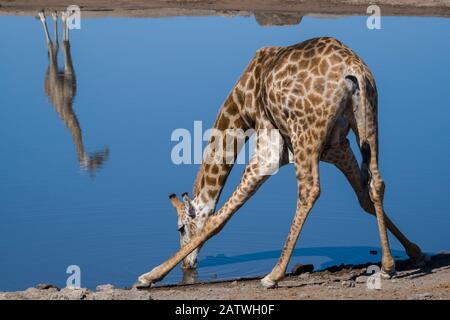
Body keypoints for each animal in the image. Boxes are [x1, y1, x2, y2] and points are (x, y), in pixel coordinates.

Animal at [38, 11, 109, 175]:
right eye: (94, 165)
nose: (105, 153)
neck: (67, 104)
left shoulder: (70, 74)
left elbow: (65, 43)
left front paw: (64, 15)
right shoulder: (65, 75)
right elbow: (64, 43)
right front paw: (63, 15)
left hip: (53, 71)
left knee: (55, 46)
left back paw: (53, 15)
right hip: (51, 73)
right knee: (52, 46)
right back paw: (43, 15)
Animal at [136, 37, 428, 288]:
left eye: (181, 228)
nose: (188, 266)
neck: (242, 103)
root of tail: (353, 69)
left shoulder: (269, 150)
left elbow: (218, 219)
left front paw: (150, 276)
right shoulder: (336, 148)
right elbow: (364, 198)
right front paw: (415, 252)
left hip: (306, 135)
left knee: (309, 190)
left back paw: (273, 274)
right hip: (367, 122)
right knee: (376, 183)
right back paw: (388, 265)